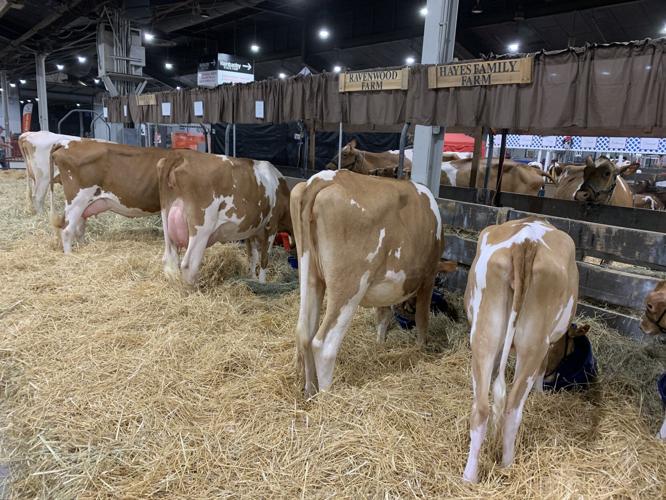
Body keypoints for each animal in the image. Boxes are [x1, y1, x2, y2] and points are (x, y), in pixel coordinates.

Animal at [158, 150, 291, 286]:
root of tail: (181, 154)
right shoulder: (272, 225)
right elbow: (264, 258)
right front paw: (262, 283)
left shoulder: (252, 230)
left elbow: (253, 256)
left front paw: (253, 278)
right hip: (202, 228)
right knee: (189, 264)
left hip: (167, 219)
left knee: (169, 260)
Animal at [291, 169, 447, 398]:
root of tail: (322, 178)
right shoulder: (428, 276)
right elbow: (422, 318)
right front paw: (420, 349)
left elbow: (383, 315)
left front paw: (380, 345)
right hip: (350, 284)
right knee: (324, 343)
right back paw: (328, 396)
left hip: (310, 272)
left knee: (305, 332)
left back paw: (310, 392)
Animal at [462, 217, 579, 483]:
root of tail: (526, 241)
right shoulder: (548, 346)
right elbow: (543, 369)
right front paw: (541, 392)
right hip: (534, 344)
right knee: (513, 408)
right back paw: (507, 464)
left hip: (484, 333)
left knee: (482, 408)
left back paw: (469, 476)